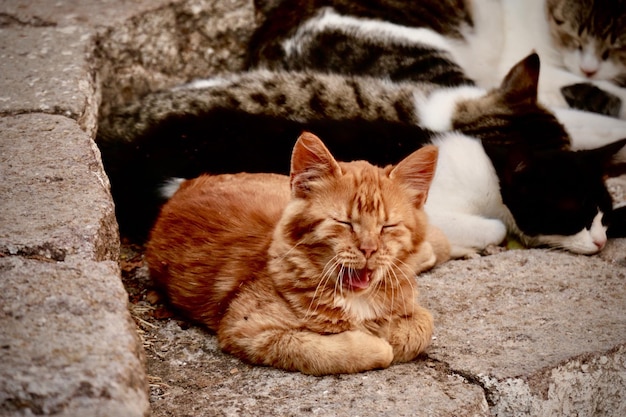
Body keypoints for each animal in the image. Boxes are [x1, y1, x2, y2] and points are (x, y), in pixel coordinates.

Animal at [145, 132, 448, 374]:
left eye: (387, 226)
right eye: (344, 222)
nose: (369, 249)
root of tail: (187, 185)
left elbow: (423, 323)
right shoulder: (249, 331)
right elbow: (332, 350)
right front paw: (377, 339)